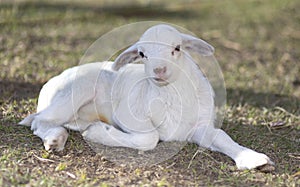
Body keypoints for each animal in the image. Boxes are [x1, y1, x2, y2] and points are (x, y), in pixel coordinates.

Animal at [19, 24, 274, 169]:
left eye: (177, 48)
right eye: (142, 54)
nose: (159, 70)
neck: (168, 94)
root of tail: (53, 80)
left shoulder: (199, 126)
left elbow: (220, 137)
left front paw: (254, 160)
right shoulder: (127, 115)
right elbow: (150, 139)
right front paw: (98, 133)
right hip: (73, 92)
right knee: (40, 121)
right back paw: (55, 139)